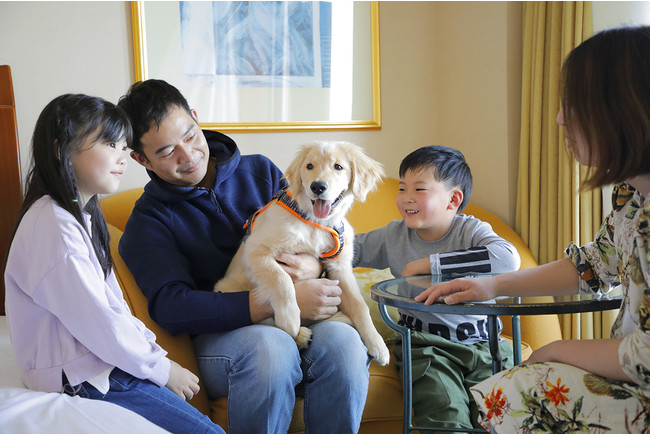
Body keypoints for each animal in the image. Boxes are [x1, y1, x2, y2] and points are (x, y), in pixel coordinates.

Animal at [215, 142, 390, 366]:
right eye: (309, 166)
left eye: (338, 167)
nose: (318, 187)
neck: (314, 222)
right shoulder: (255, 249)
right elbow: (281, 279)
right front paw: (289, 319)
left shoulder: (339, 268)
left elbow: (360, 306)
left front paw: (378, 345)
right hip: (227, 288)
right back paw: (299, 333)